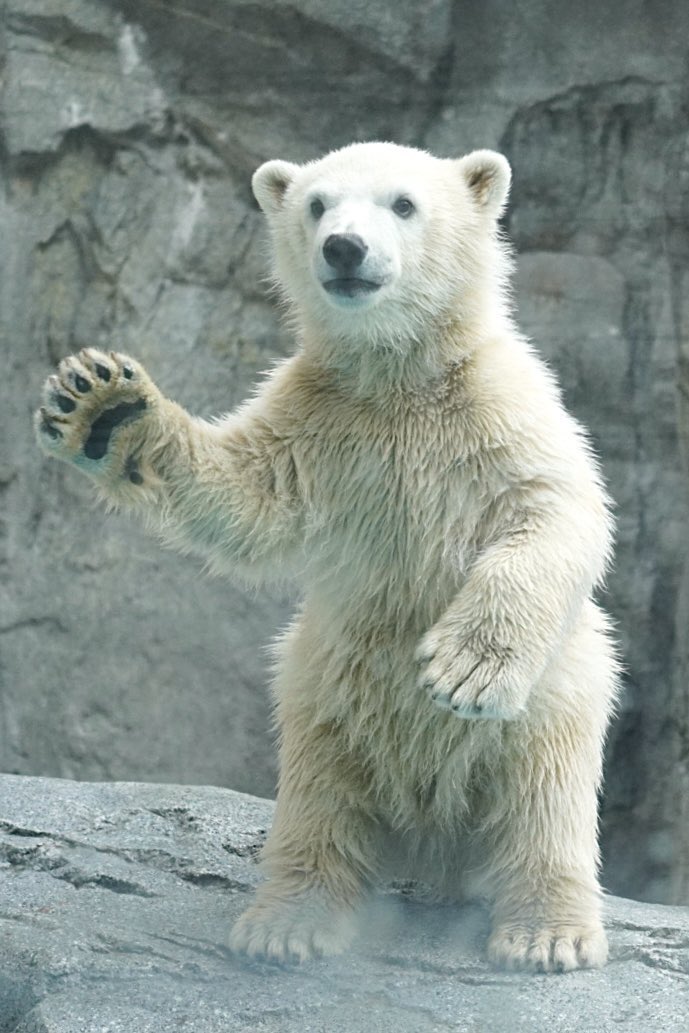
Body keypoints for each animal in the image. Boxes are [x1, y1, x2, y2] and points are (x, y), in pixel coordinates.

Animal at [36, 141, 619, 973]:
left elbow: (556, 512)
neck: (396, 375)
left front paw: (462, 669)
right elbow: (245, 495)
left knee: (544, 796)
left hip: (555, 693)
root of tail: (433, 848)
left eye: (403, 203)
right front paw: (105, 408)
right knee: (320, 799)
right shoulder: (318, 417)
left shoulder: (500, 407)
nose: (343, 247)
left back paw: (547, 931)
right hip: (321, 688)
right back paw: (289, 922)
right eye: (315, 204)